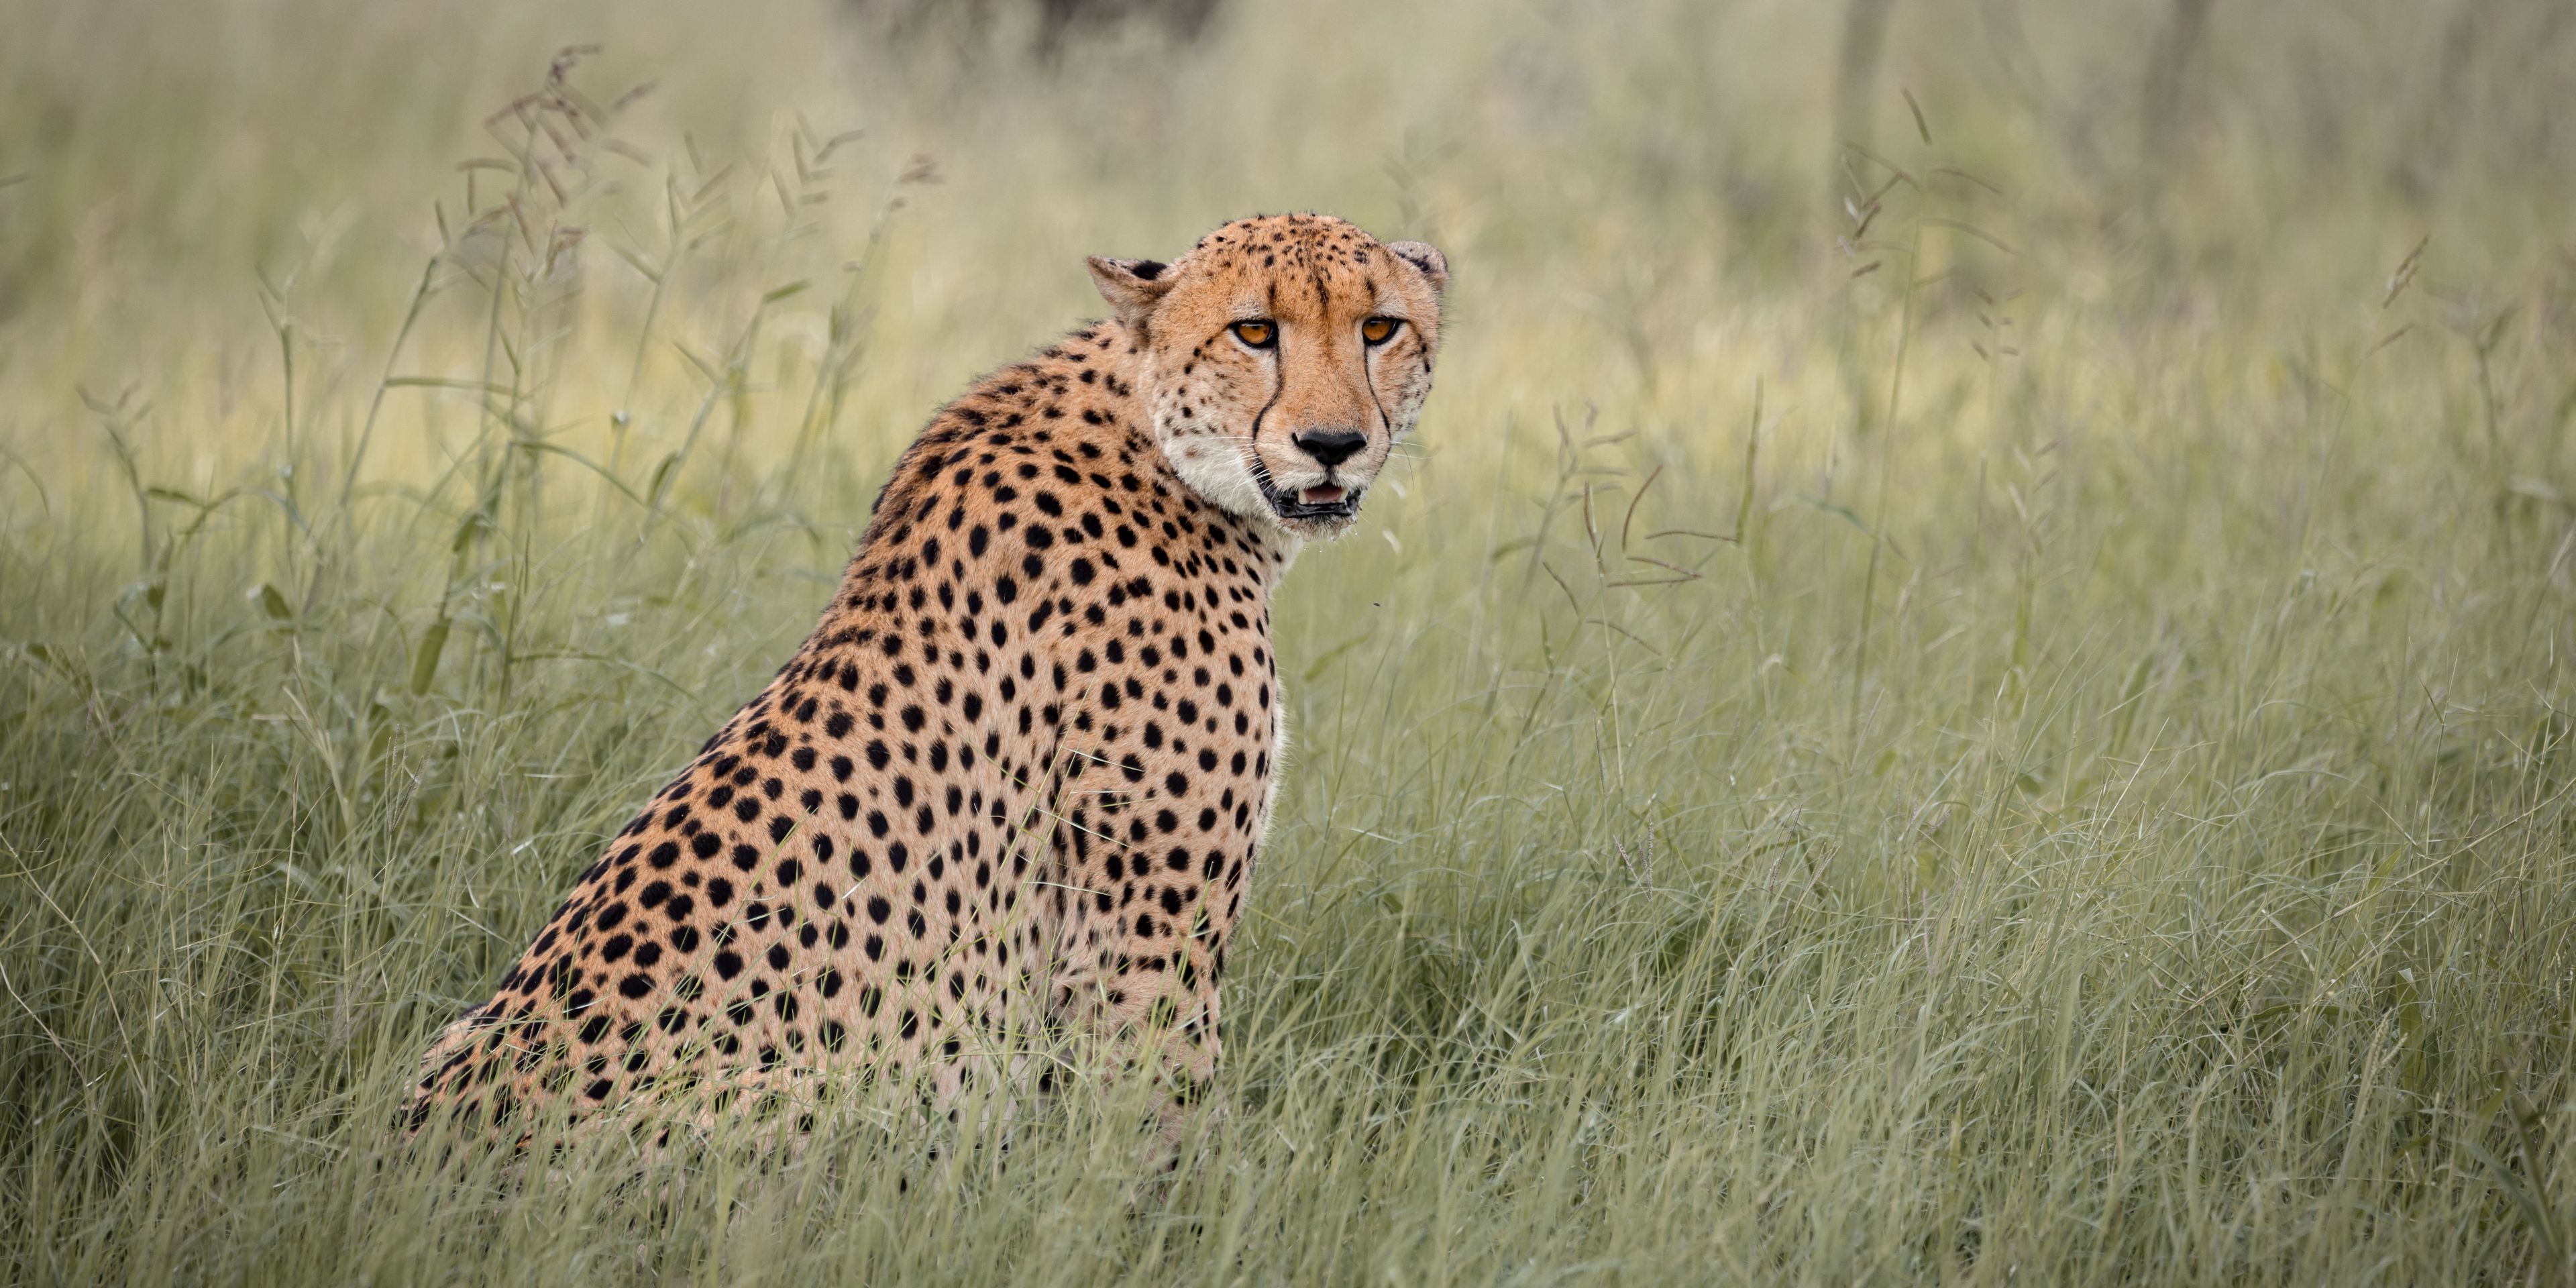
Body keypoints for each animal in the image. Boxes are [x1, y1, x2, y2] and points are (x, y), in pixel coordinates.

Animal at [405, 212, 1448, 1146]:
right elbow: (1160, 1130)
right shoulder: (1142, 933)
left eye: (1380, 328)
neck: (1160, 443)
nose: (1332, 444)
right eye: (1254, 331)